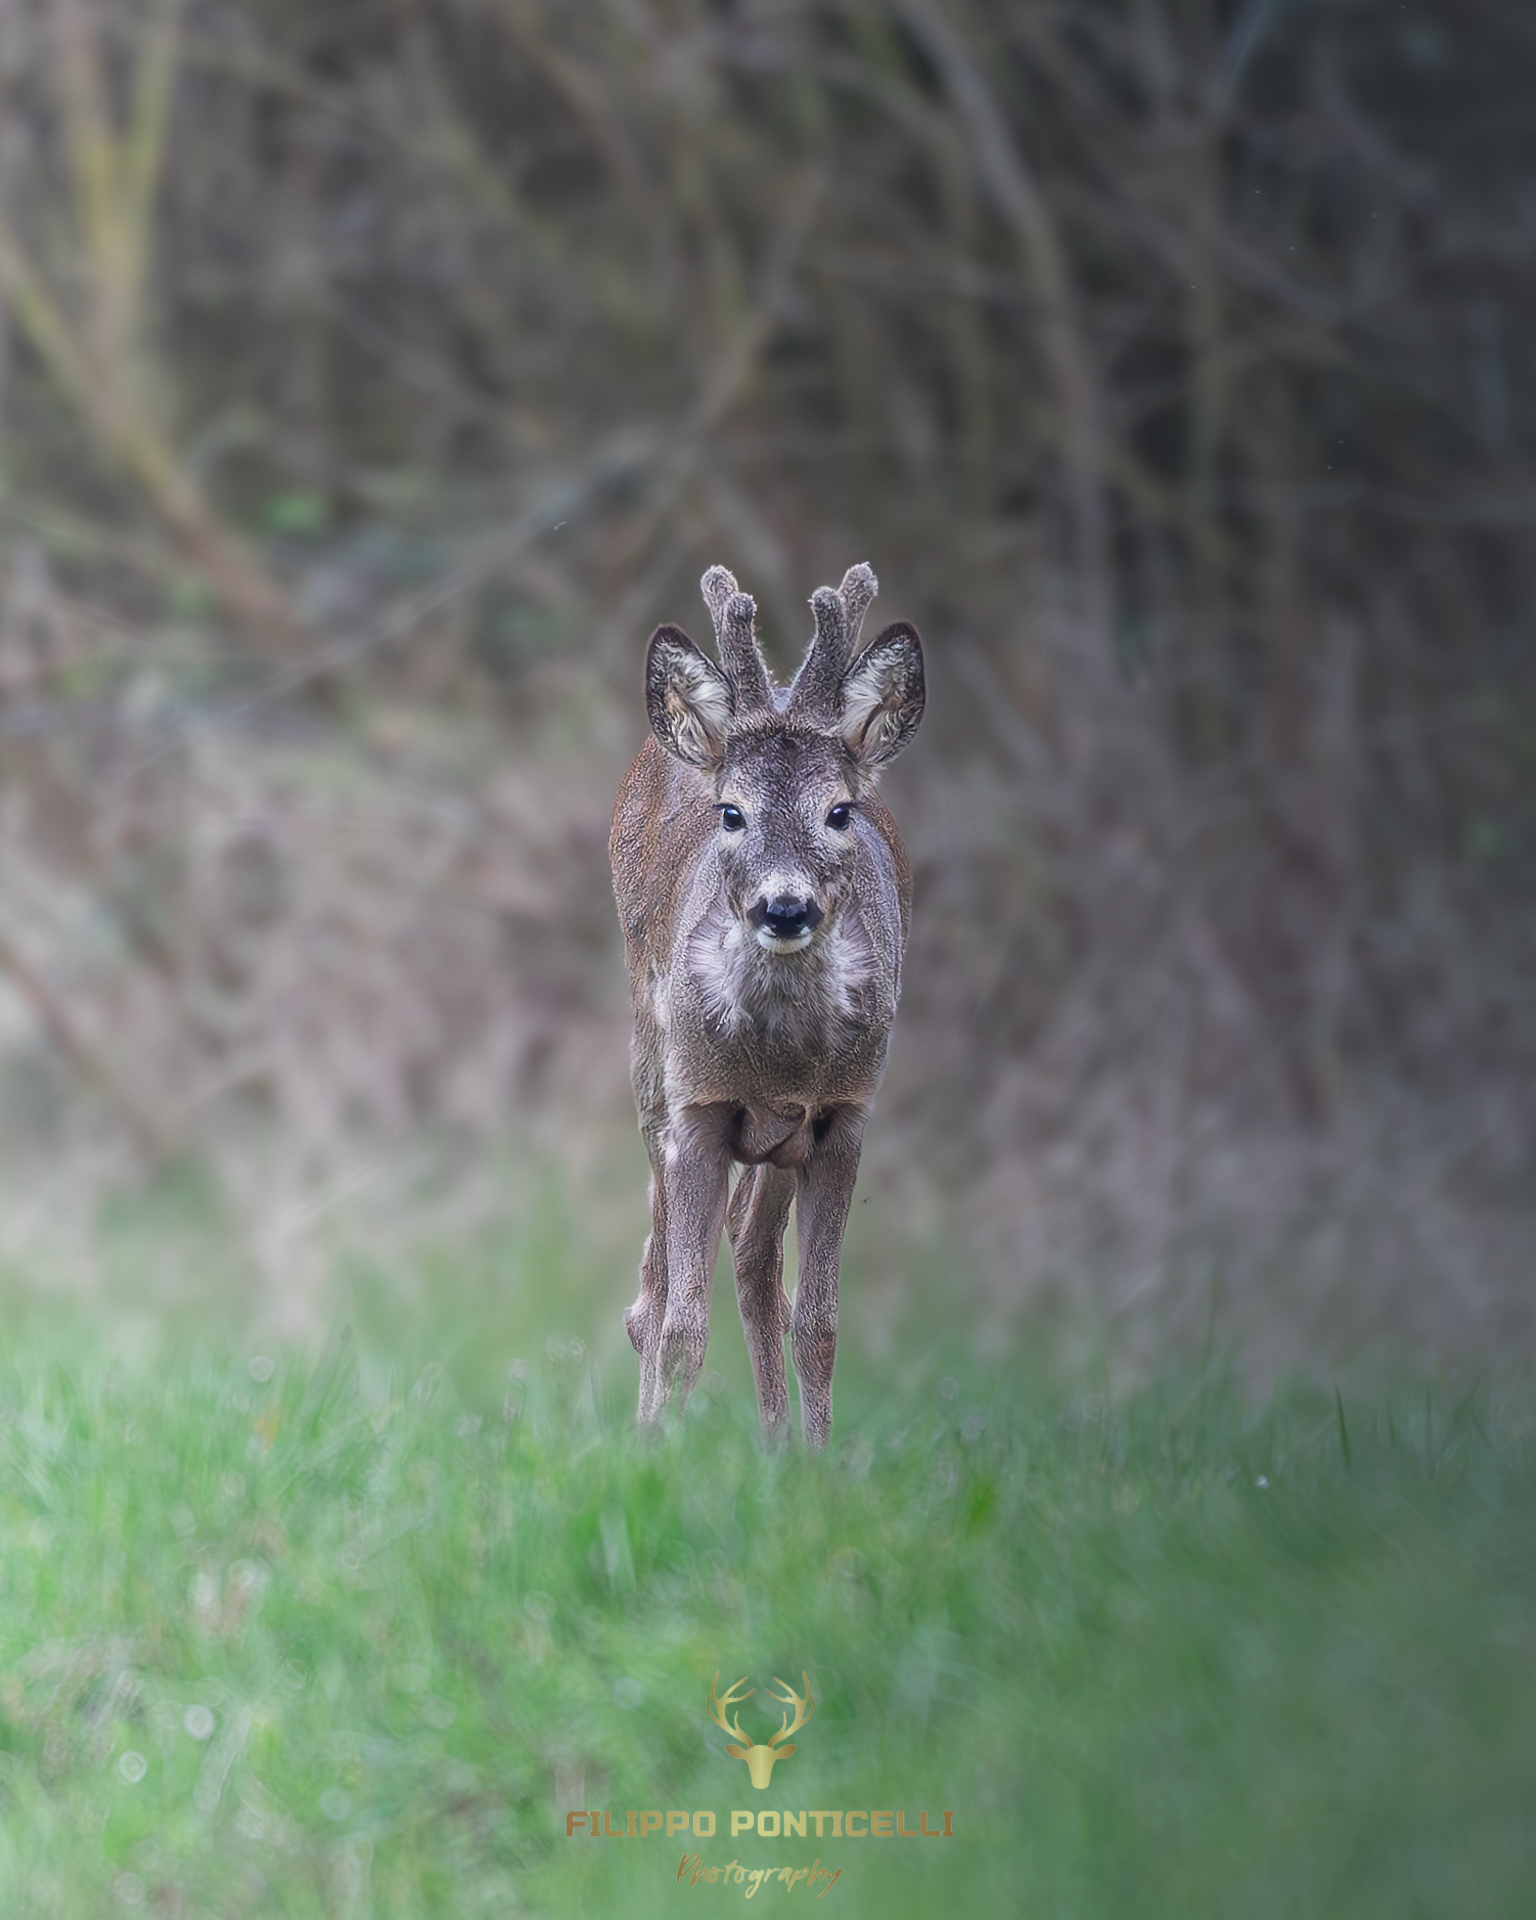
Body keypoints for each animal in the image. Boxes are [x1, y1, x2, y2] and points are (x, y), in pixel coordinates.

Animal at [610, 561, 925, 1446]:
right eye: (732, 812)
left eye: (839, 811)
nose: (785, 908)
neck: (779, 1059)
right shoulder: (698, 1106)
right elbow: (683, 1323)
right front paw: (662, 1453)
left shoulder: (842, 1114)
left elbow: (818, 1320)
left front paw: (816, 1462)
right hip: (650, 1066)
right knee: (655, 1286)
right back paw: (650, 1424)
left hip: (779, 1142)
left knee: (755, 1262)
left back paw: (778, 1446)